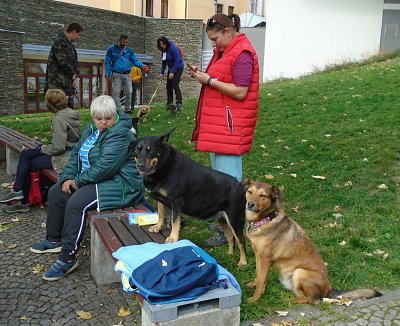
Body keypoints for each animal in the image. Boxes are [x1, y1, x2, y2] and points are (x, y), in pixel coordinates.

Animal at [130, 130, 247, 268]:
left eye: (151, 150)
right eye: (136, 150)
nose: (140, 166)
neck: (163, 165)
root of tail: (241, 187)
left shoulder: (176, 201)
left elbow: (175, 221)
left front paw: (173, 238)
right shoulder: (160, 199)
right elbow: (161, 213)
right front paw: (158, 227)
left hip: (235, 219)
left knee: (241, 242)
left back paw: (243, 262)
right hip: (223, 218)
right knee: (230, 237)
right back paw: (229, 254)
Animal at [242, 178, 382, 304]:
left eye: (263, 195)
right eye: (249, 191)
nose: (250, 204)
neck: (266, 219)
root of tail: (329, 290)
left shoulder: (265, 259)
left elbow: (261, 281)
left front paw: (255, 298)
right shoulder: (258, 256)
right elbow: (258, 275)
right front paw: (253, 285)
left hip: (300, 272)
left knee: (312, 299)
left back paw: (286, 301)